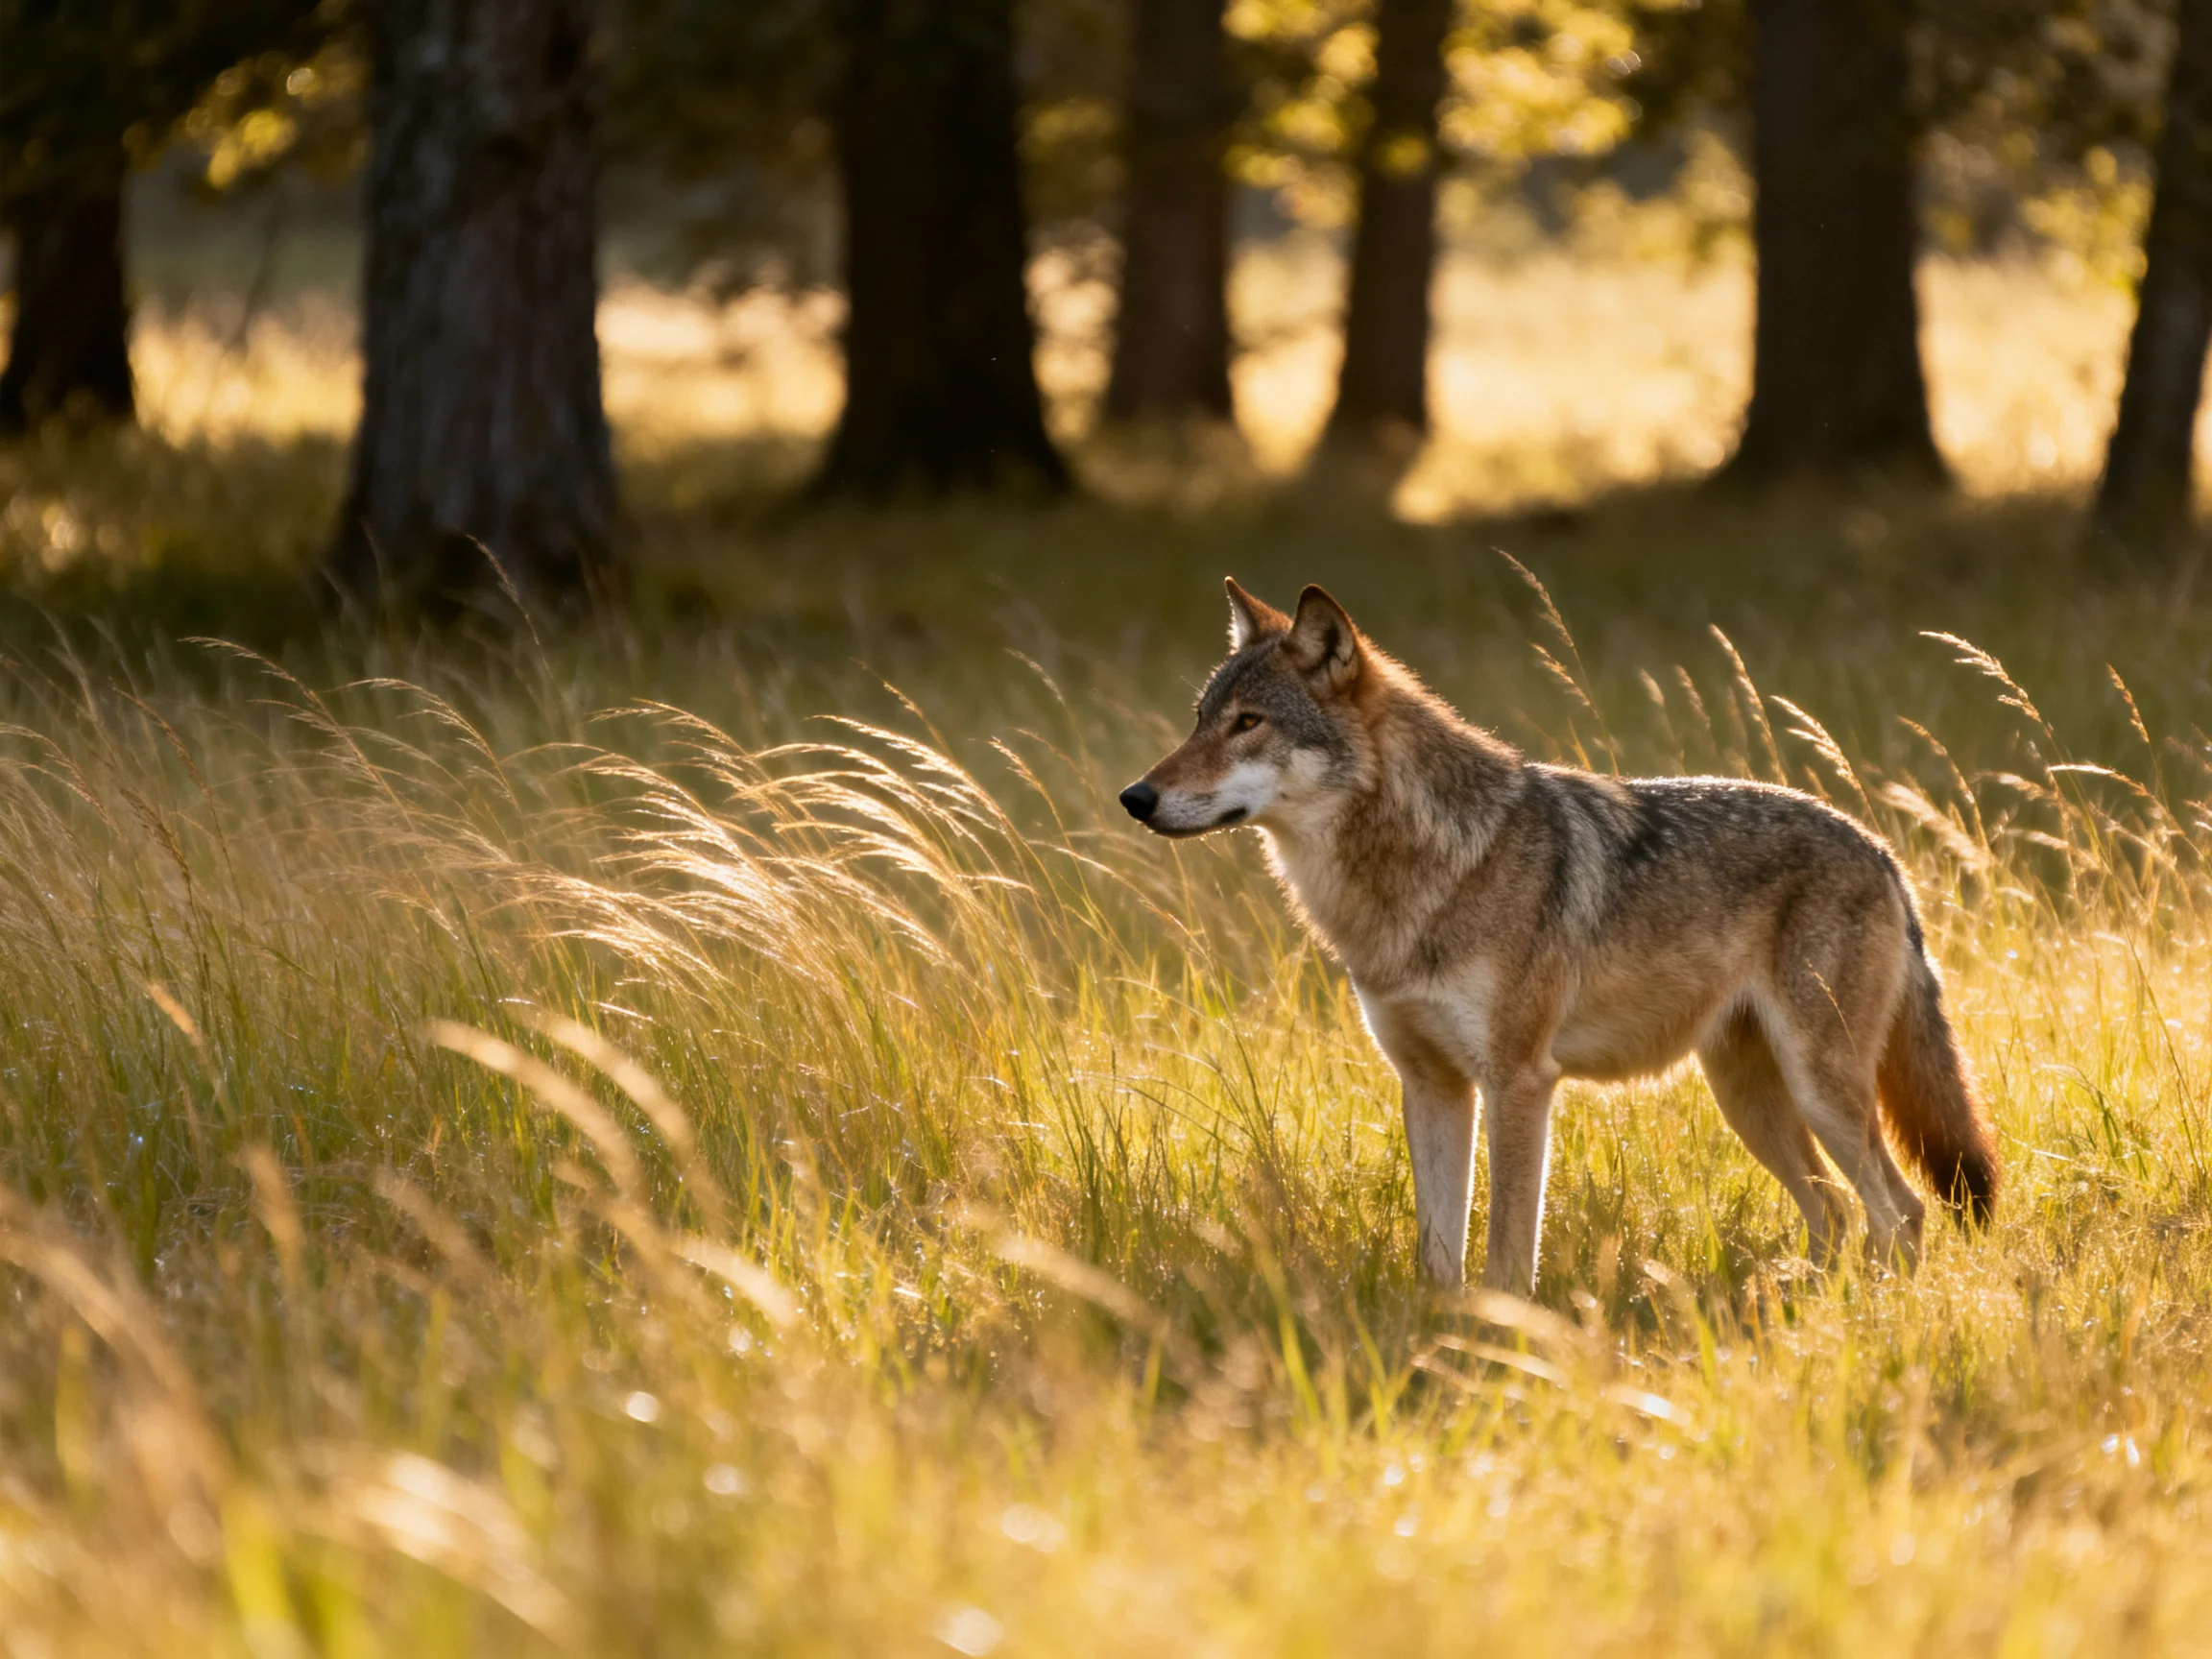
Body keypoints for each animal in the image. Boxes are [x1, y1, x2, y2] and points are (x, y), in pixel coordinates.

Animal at [1120, 579, 1999, 1293]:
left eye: (1248, 724)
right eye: (1200, 721)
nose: (1135, 796)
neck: (1424, 877)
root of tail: (1880, 849)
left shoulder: (1519, 1082)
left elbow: (1507, 1251)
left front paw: (1501, 1342)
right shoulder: (1430, 1085)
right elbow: (1437, 1255)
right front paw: (1437, 1333)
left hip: (1820, 1092)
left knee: (1900, 1212)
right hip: (1750, 1100)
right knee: (1838, 1217)